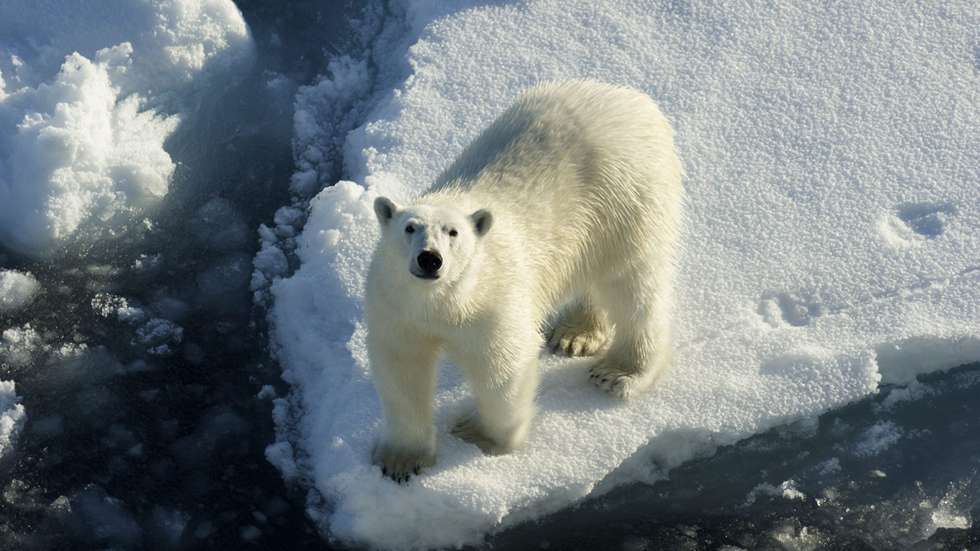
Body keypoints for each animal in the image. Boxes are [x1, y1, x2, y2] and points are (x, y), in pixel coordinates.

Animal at [365, 80, 684, 482]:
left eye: (453, 232)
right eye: (409, 228)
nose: (430, 259)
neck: (442, 301)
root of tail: (632, 98)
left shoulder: (493, 301)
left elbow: (504, 365)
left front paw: (480, 435)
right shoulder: (396, 305)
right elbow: (403, 369)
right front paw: (401, 461)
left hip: (628, 197)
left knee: (631, 286)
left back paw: (620, 372)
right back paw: (575, 335)